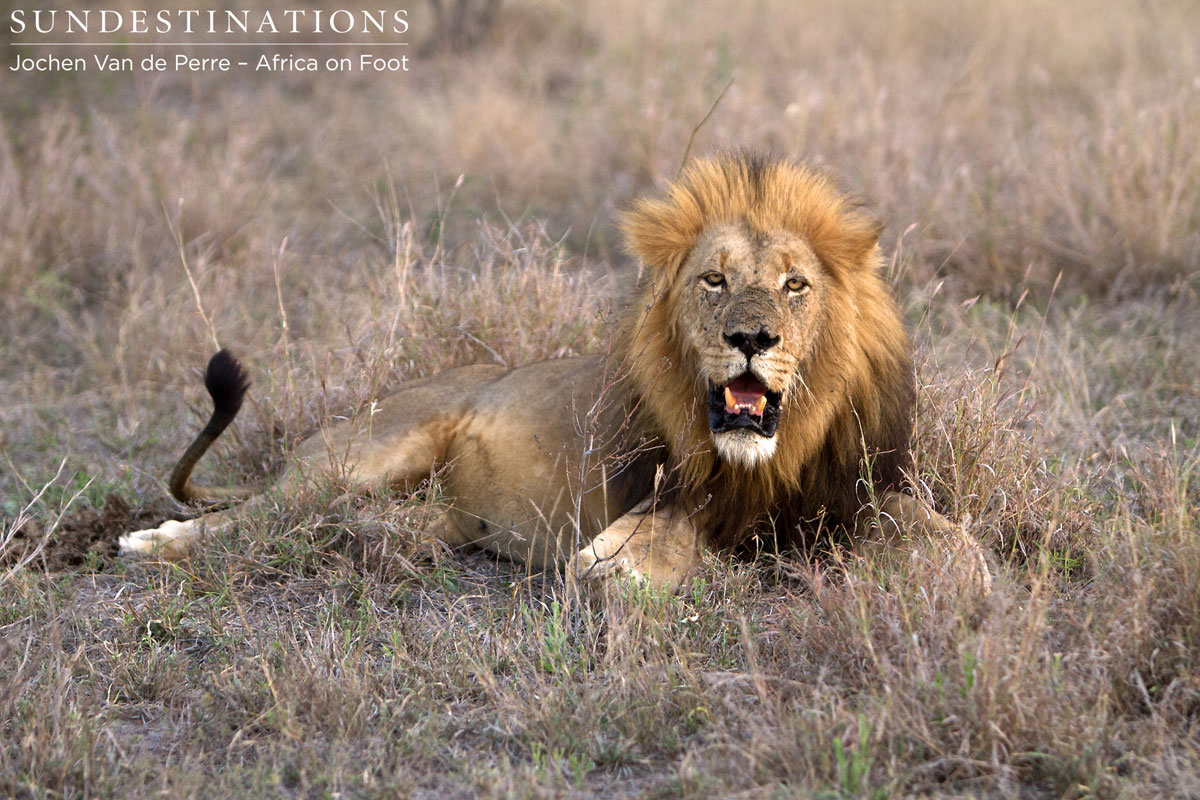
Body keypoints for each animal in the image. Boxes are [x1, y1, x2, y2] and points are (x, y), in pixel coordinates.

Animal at [120, 152, 989, 593]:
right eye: (714, 280)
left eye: (795, 284)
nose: (750, 336)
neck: (778, 451)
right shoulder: (677, 490)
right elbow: (656, 541)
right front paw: (617, 565)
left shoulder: (856, 486)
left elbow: (939, 531)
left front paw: (966, 575)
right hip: (369, 451)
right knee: (259, 515)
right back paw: (155, 542)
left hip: (432, 515)